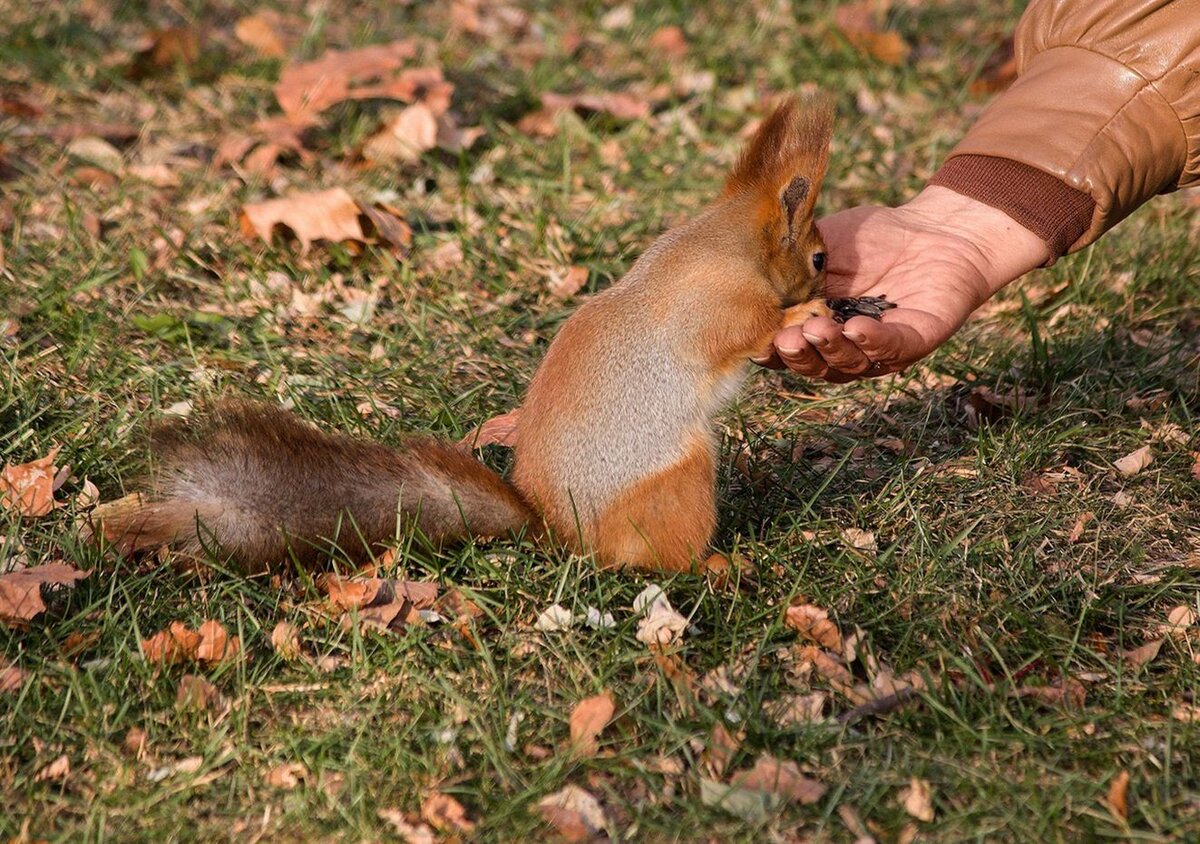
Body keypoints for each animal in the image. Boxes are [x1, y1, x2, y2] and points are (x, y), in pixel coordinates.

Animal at [91, 96, 835, 578]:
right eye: (820, 257)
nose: (828, 283)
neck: (723, 244)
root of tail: (558, 533)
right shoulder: (718, 306)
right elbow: (744, 333)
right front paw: (800, 317)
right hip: (679, 482)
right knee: (660, 561)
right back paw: (716, 564)